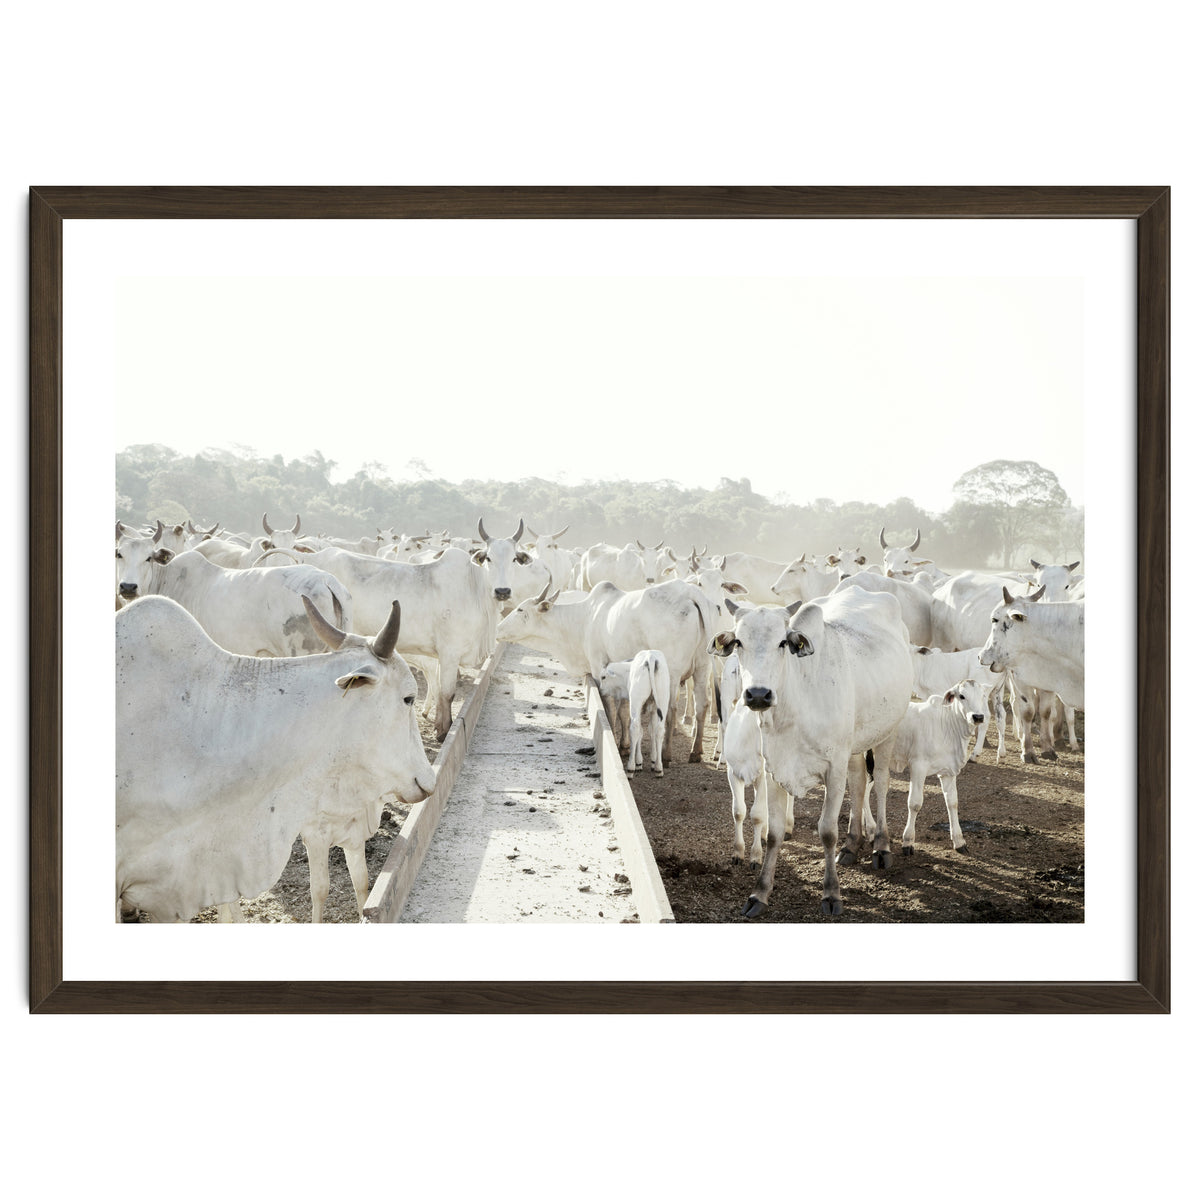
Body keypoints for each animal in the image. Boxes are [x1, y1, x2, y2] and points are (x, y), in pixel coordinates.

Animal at [497, 578, 715, 764]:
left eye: (520, 609)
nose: (498, 628)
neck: (584, 619)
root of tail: (690, 592)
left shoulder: (598, 667)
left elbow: (609, 707)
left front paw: (614, 740)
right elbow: (625, 711)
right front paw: (625, 745)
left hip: (671, 672)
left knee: (671, 709)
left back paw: (666, 753)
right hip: (703, 667)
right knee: (702, 704)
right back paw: (696, 752)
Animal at [711, 586, 913, 917]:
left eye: (783, 641)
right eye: (739, 641)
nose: (758, 695)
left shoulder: (833, 768)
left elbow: (827, 831)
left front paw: (831, 894)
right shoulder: (774, 770)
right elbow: (773, 833)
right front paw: (759, 893)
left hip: (888, 730)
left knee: (881, 782)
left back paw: (881, 847)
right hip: (853, 746)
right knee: (859, 783)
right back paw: (852, 844)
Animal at [883, 679, 991, 856]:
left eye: (983, 695)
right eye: (962, 696)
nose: (978, 716)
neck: (947, 727)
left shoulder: (949, 772)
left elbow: (952, 802)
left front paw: (959, 841)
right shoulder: (917, 766)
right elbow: (915, 803)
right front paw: (908, 841)